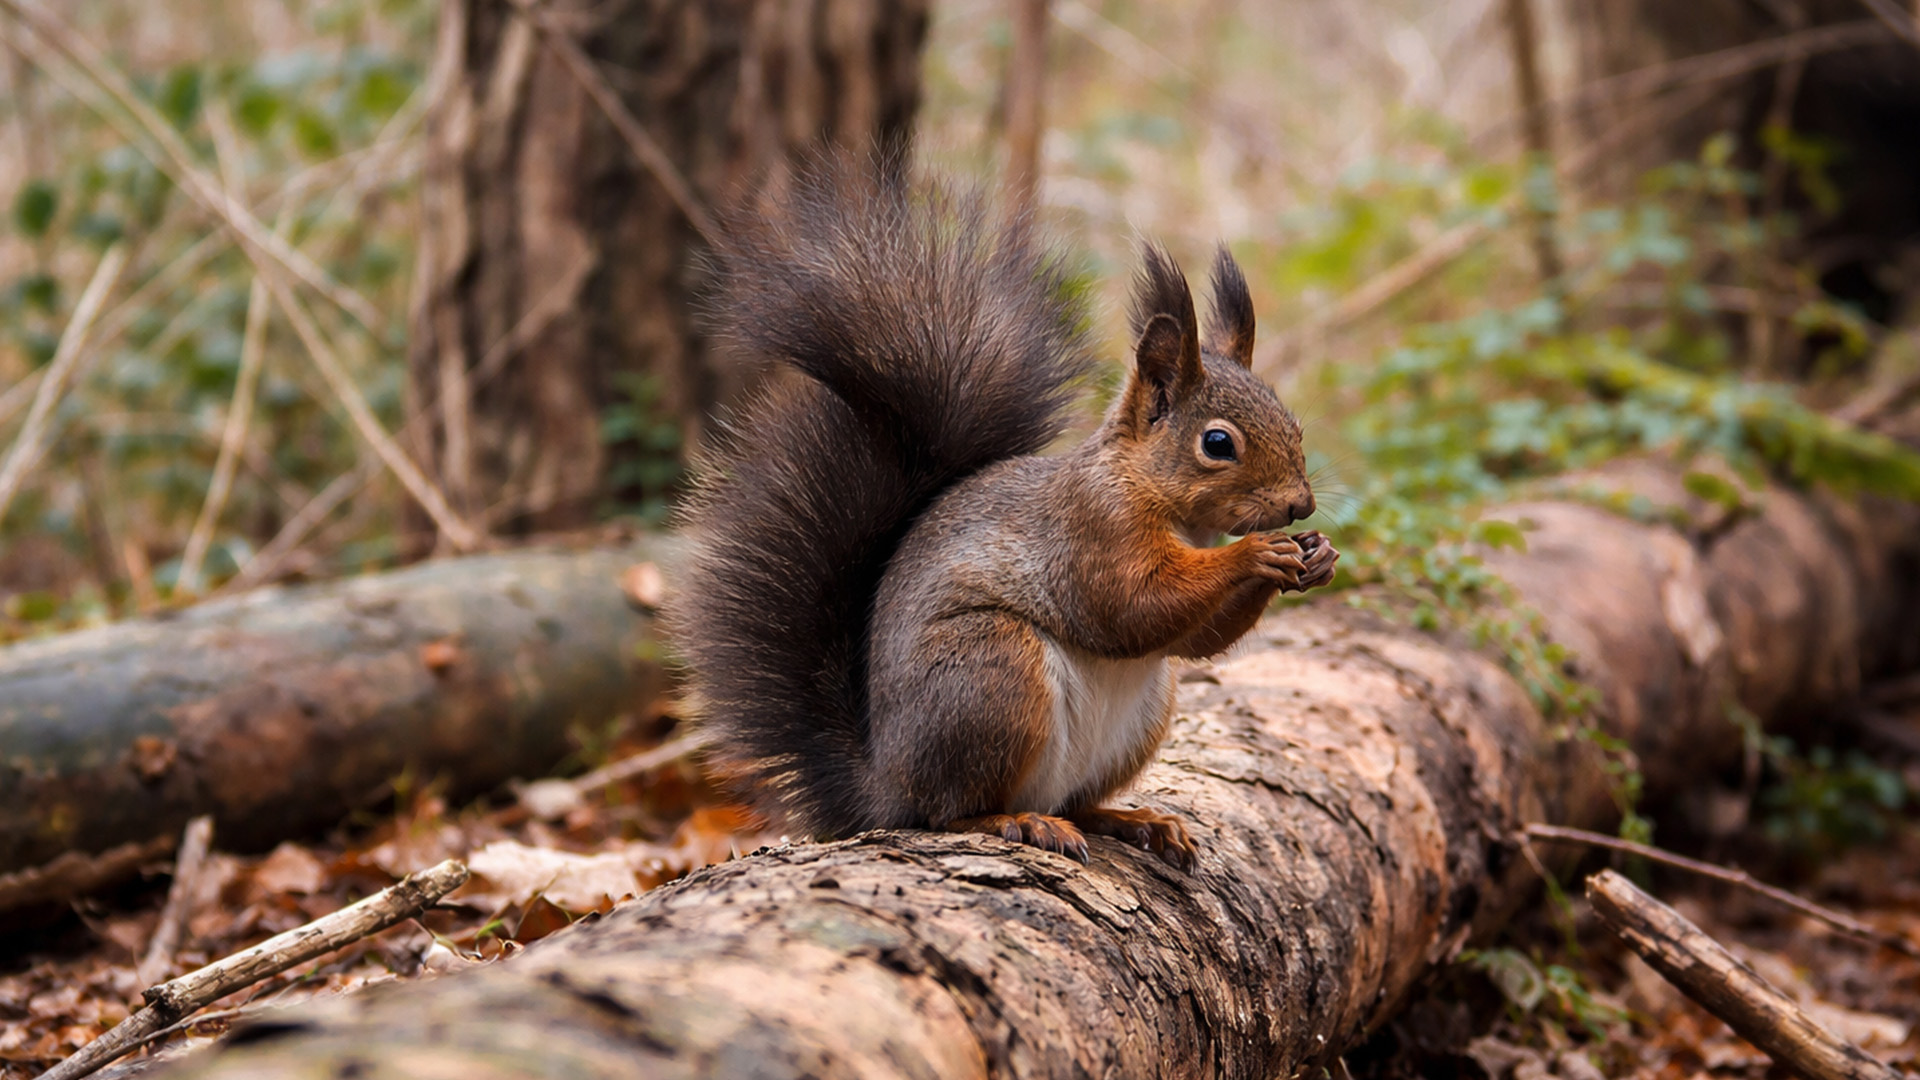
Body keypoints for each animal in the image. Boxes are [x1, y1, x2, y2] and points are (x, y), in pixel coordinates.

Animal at [671, 162, 1337, 870]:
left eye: (1293, 423)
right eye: (1217, 443)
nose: (1300, 504)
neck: (1159, 499)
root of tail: (885, 787)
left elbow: (1192, 642)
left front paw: (1317, 555)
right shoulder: (1090, 529)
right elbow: (1130, 608)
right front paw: (1256, 554)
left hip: (1138, 714)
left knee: (1077, 800)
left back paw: (1134, 819)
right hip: (993, 673)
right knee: (949, 812)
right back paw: (1015, 820)